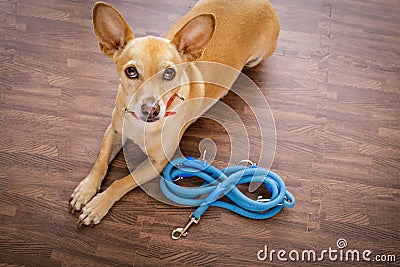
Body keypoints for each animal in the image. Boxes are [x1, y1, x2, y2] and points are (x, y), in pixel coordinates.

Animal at [69, 0, 278, 226]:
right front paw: (86, 190)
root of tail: (265, 3)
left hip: (257, 58)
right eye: (131, 71)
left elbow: (122, 182)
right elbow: (100, 162)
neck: (142, 126)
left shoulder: (157, 164)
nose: (151, 110)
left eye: (169, 73)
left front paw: (98, 205)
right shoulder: (114, 132)